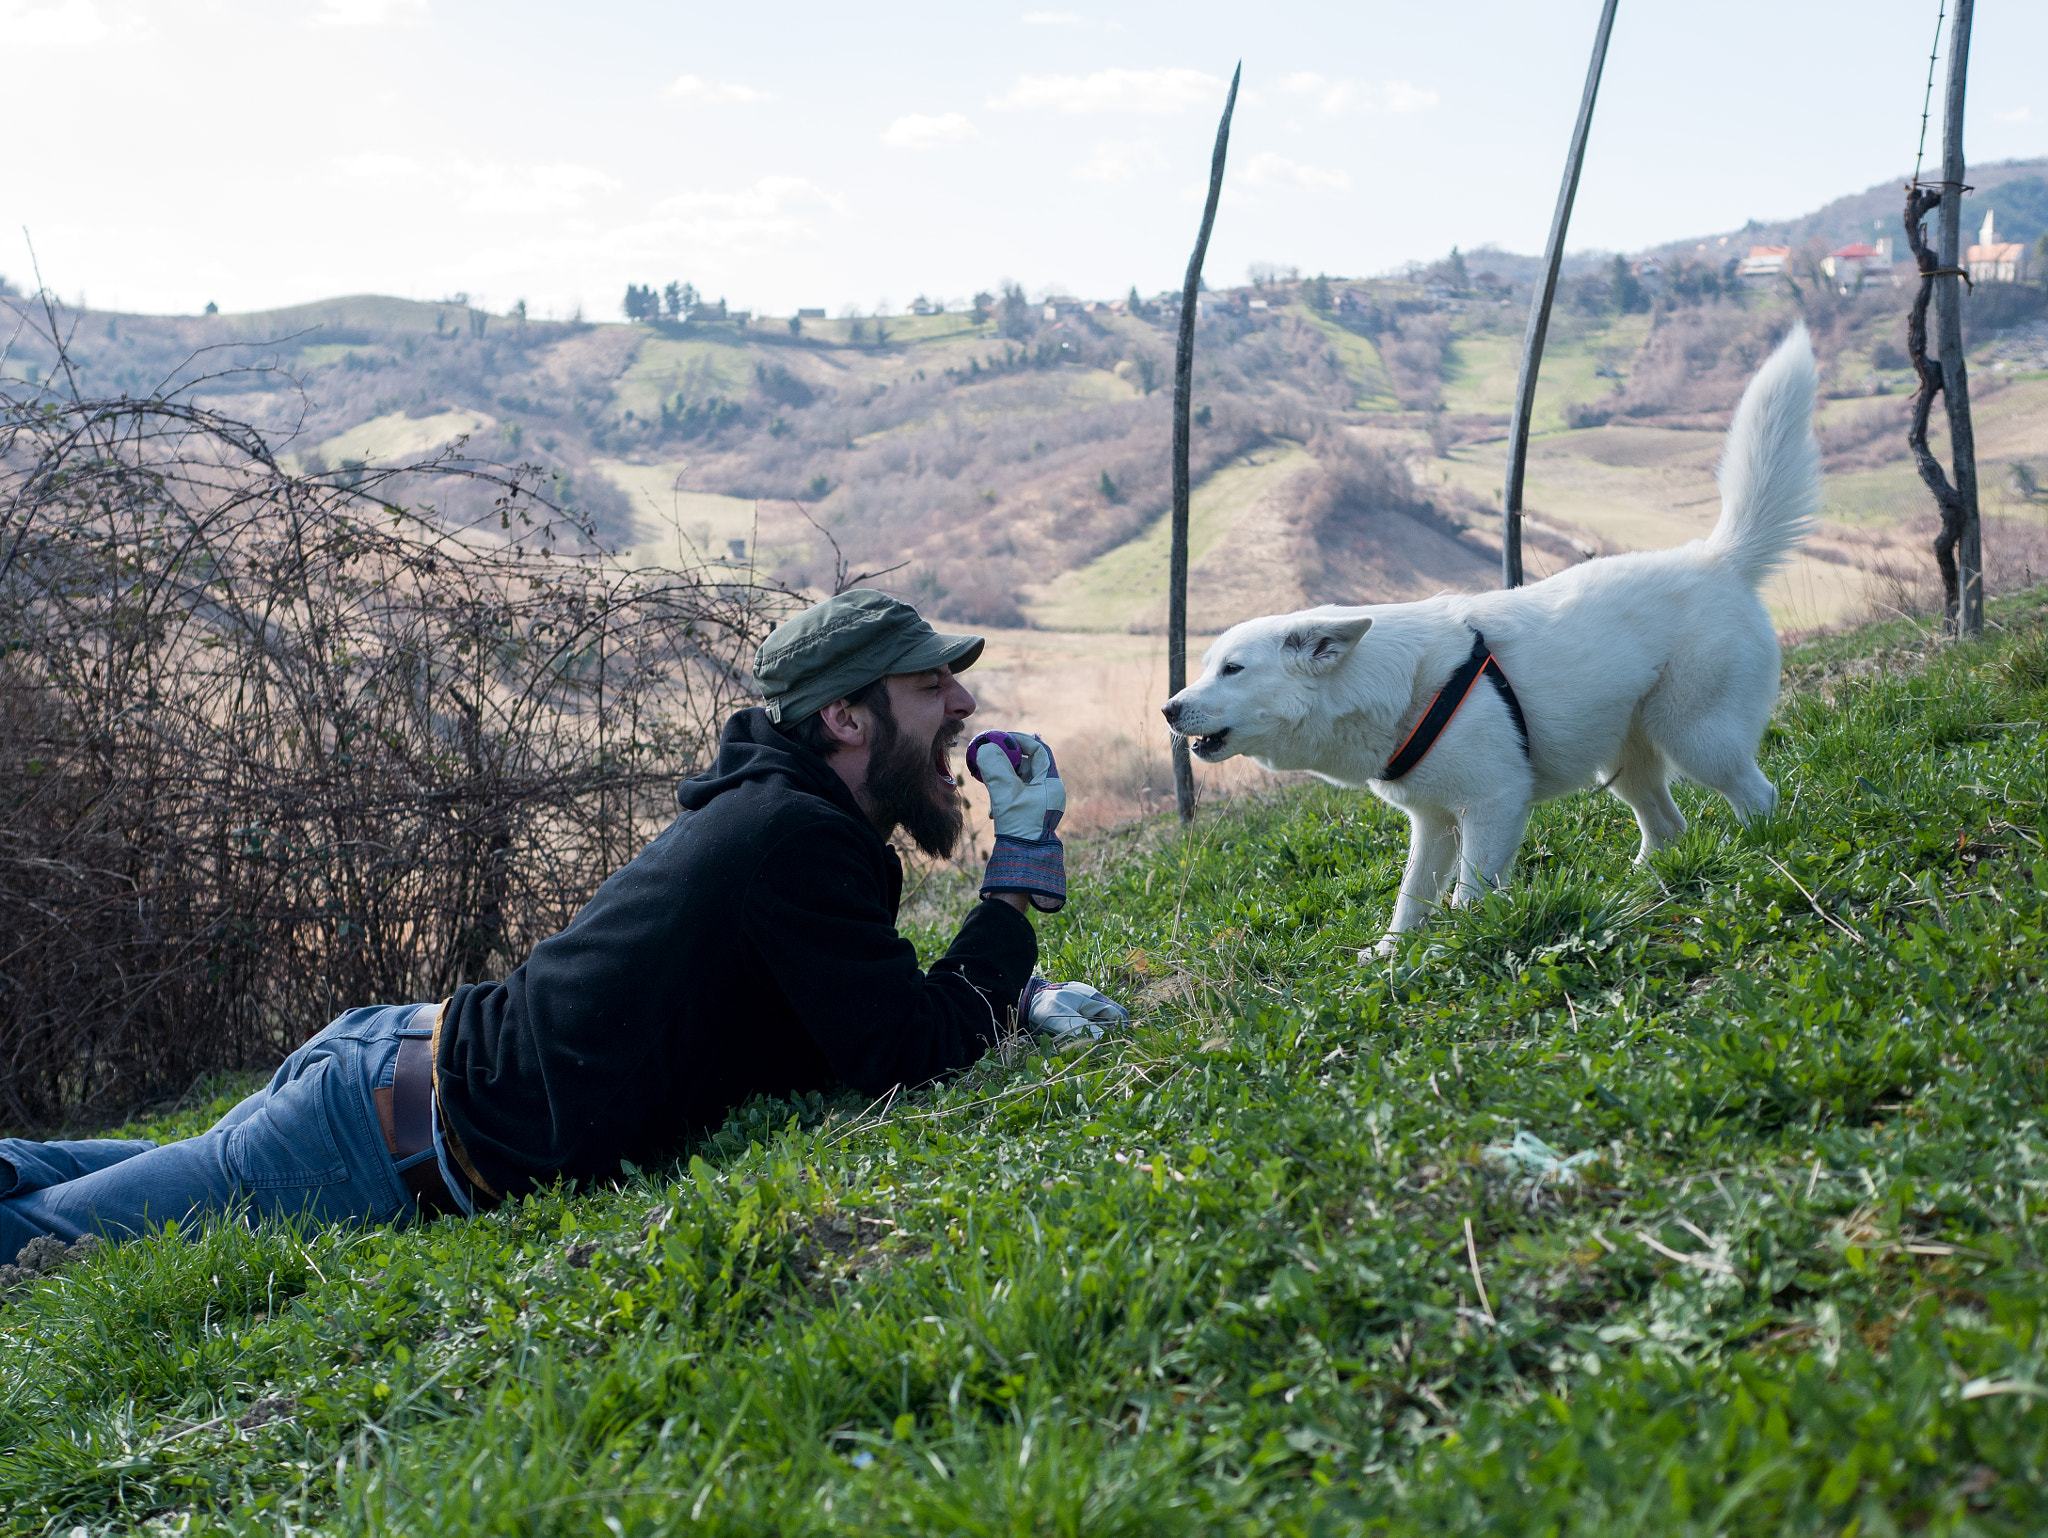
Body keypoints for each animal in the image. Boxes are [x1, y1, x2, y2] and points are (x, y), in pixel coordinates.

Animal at [1163, 325, 1818, 950]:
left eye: (1233, 669)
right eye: (1207, 667)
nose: (1168, 710)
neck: (1401, 689)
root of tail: (1717, 559)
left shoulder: (1493, 806)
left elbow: (1467, 897)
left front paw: (1459, 947)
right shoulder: (1434, 823)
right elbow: (1411, 902)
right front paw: (1390, 959)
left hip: (1697, 739)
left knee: (1758, 796)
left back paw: (1761, 851)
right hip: (1625, 763)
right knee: (1668, 829)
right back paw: (1640, 887)